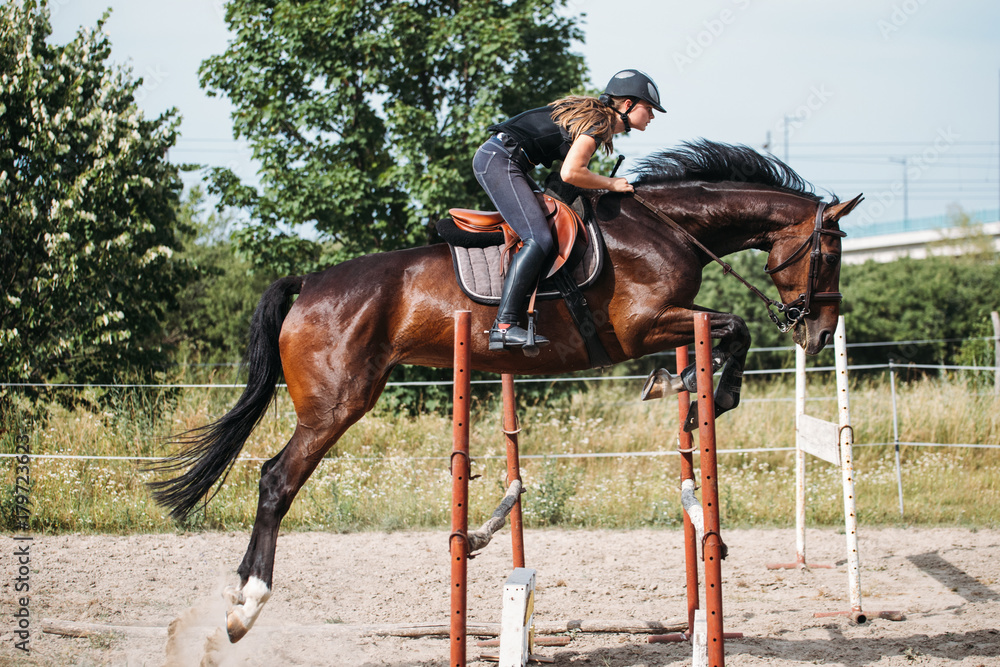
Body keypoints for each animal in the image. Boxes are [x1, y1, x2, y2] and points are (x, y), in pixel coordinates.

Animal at [150, 139, 863, 642]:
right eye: (830, 255)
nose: (821, 332)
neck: (664, 226)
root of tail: (309, 283)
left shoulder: (662, 324)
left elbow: (718, 335)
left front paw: (683, 384)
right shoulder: (641, 326)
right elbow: (734, 326)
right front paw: (707, 391)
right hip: (336, 405)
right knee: (275, 479)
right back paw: (245, 607)